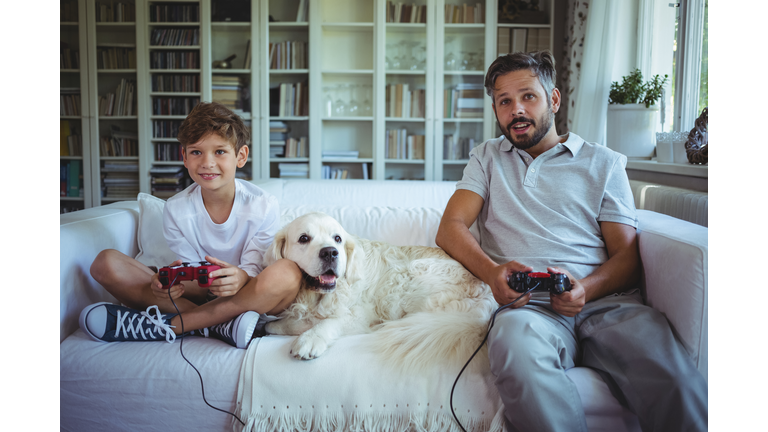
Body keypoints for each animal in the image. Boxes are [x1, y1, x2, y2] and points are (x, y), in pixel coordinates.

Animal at [264, 212, 498, 372]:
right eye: (304, 238)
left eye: (337, 239)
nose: (330, 252)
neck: (314, 297)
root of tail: (487, 294)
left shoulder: (361, 314)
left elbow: (330, 321)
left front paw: (310, 338)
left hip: (406, 275)